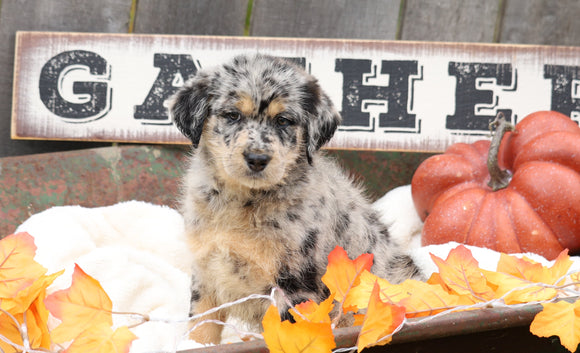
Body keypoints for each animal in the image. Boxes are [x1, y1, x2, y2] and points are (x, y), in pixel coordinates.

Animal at [170, 53, 420, 342]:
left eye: (283, 120)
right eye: (232, 115)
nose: (257, 159)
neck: (243, 202)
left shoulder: (296, 284)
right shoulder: (206, 272)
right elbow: (201, 329)